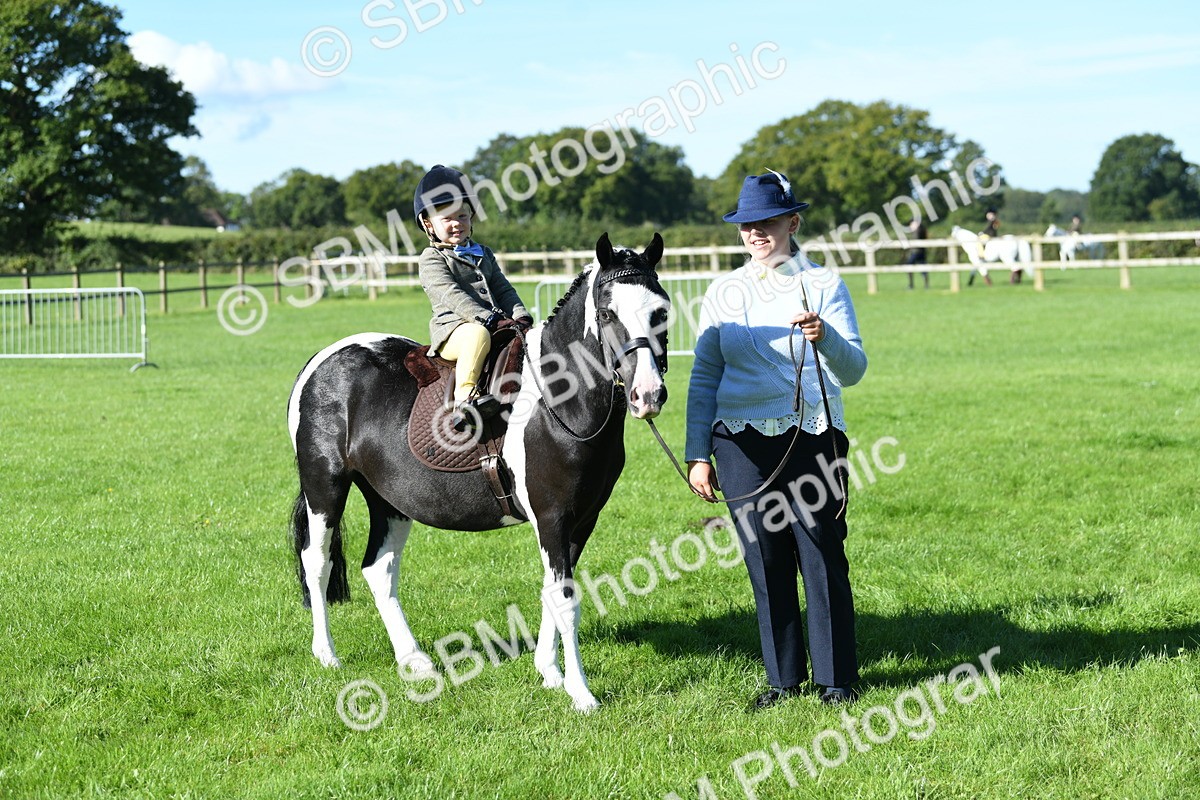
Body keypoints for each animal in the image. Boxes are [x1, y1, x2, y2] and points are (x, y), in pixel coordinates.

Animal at [286, 233, 670, 712]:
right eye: (606, 314)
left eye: (661, 310)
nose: (648, 394)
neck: (557, 400)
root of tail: (321, 361)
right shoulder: (552, 518)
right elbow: (564, 600)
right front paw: (581, 694)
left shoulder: (581, 520)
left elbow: (551, 592)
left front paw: (549, 673)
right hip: (325, 488)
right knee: (316, 563)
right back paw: (327, 655)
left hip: (389, 501)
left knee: (379, 569)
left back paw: (414, 661)